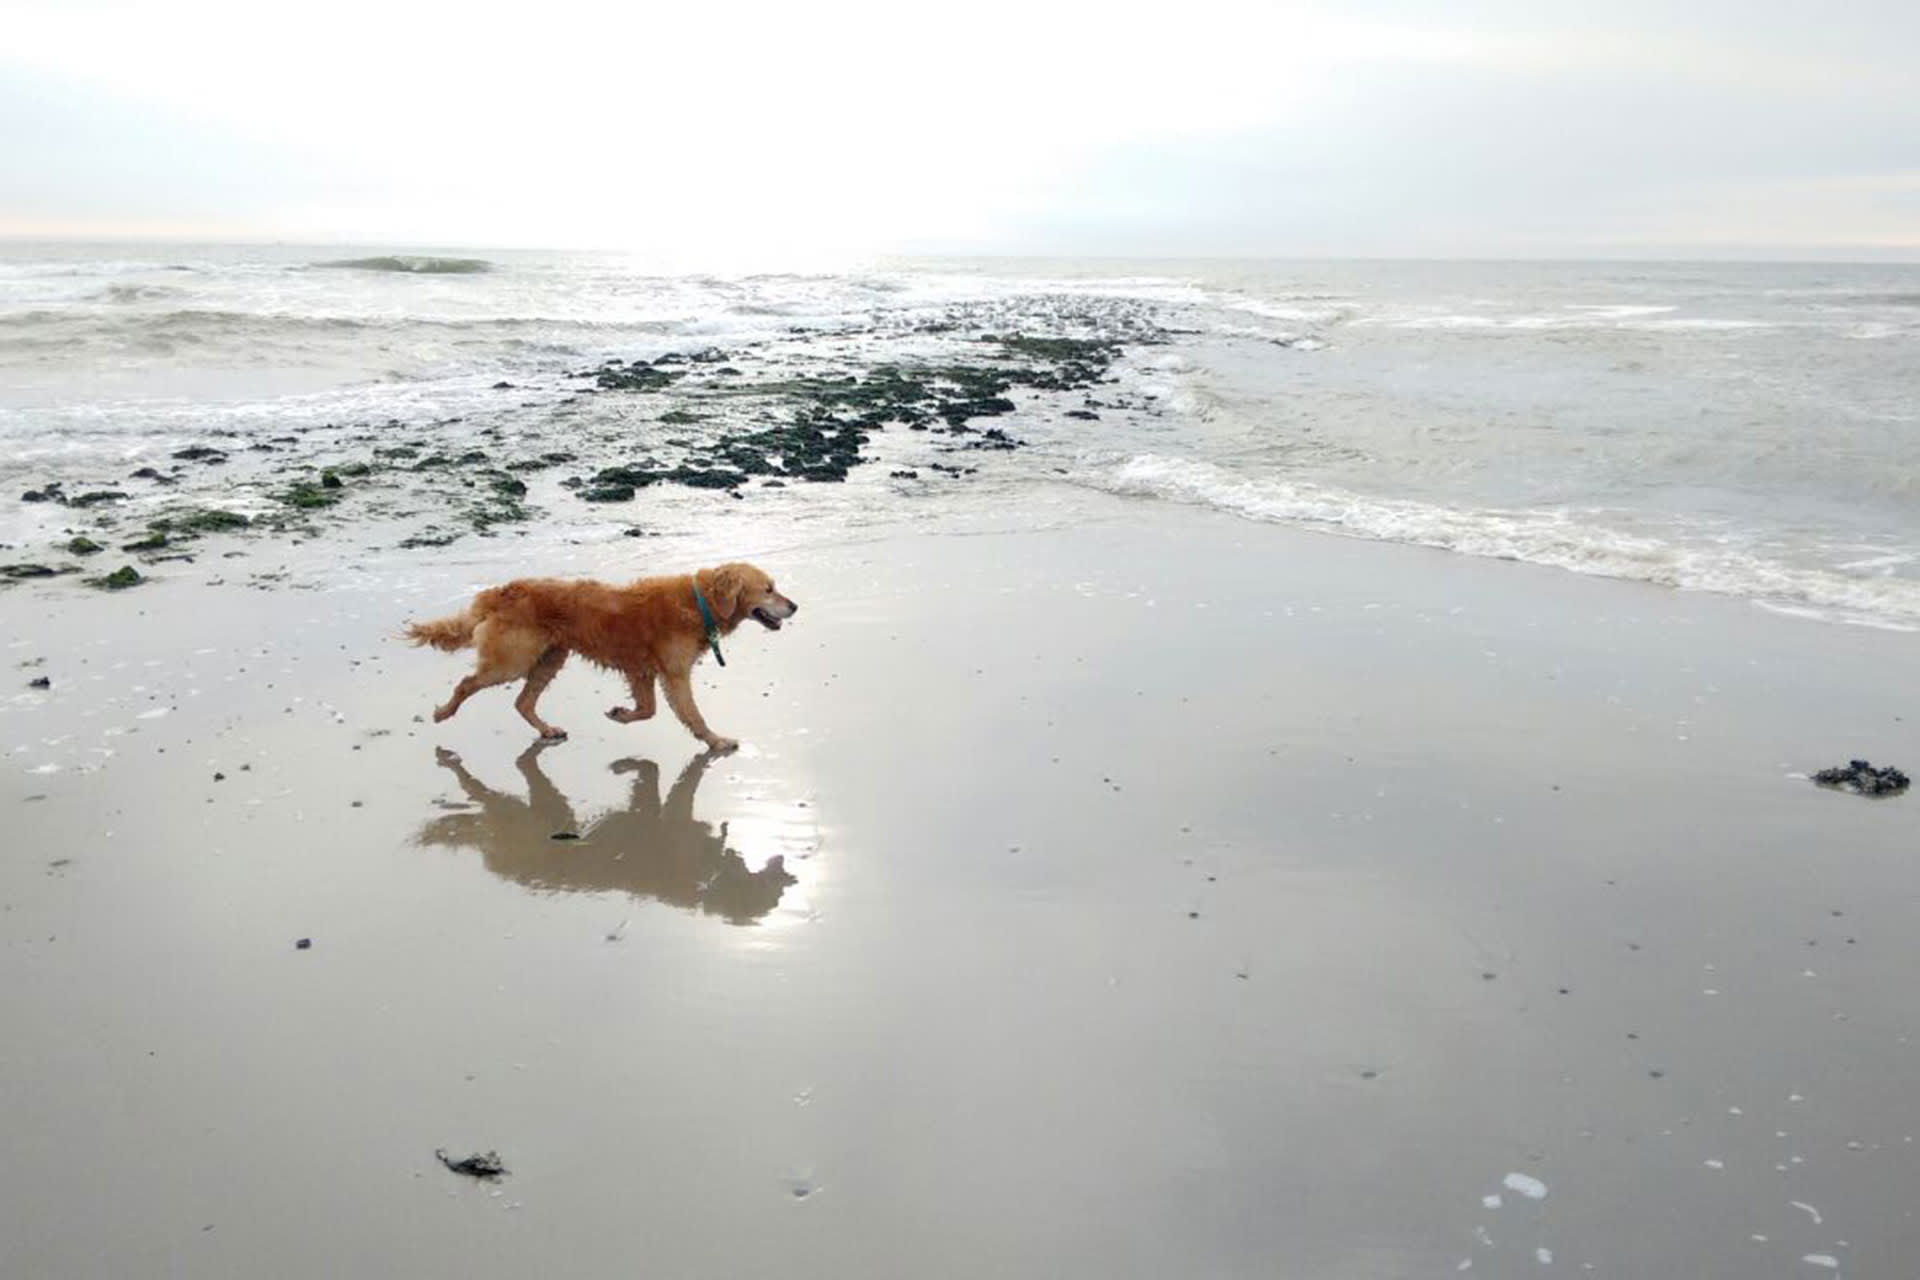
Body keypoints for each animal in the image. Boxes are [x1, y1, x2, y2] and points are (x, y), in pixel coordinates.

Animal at [405, 560, 794, 752]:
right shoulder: (674, 673)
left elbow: (647, 710)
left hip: (550, 658)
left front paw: (620, 714)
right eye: (769, 589)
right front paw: (717, 741)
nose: (795, 606)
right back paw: (443, 712)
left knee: (523, 702)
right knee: (467, 683)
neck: (699, 603)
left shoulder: (642, 672)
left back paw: (547, 730)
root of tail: (499, 593)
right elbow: (692, 716)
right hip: (511, 661)